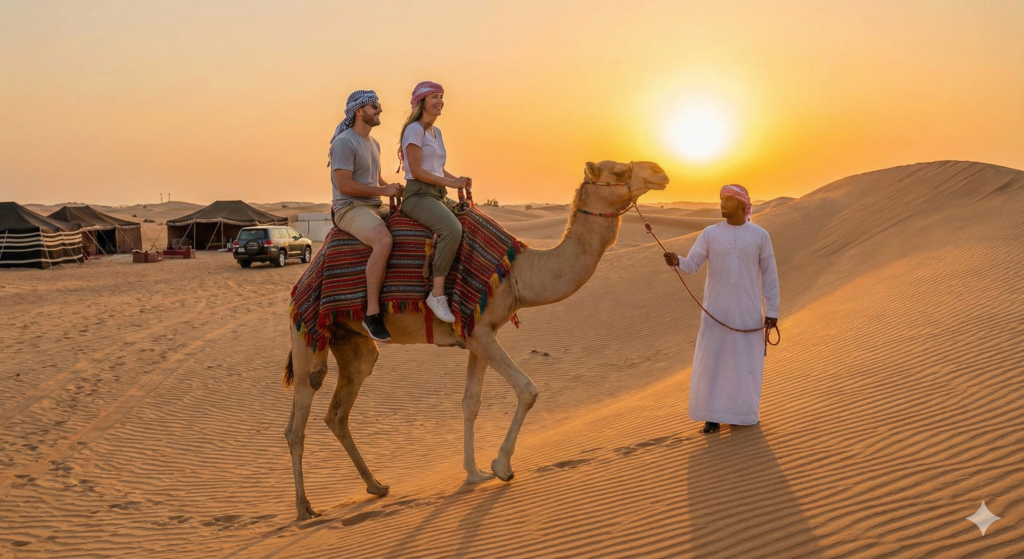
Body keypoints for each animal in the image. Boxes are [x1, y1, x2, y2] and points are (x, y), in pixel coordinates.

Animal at [283, 160, 669, 520]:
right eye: (615, 170)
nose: (659, 171)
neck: (516, 273)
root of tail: (306, 275)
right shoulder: (480, 332)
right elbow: (527, 389)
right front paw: (501, 466)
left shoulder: (479, 332)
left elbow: (471, 403)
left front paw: (474, 472)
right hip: (308, 335)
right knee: (298, 418)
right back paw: (304, 508)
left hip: (351, 341)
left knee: (339, 411)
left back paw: (376, 486)